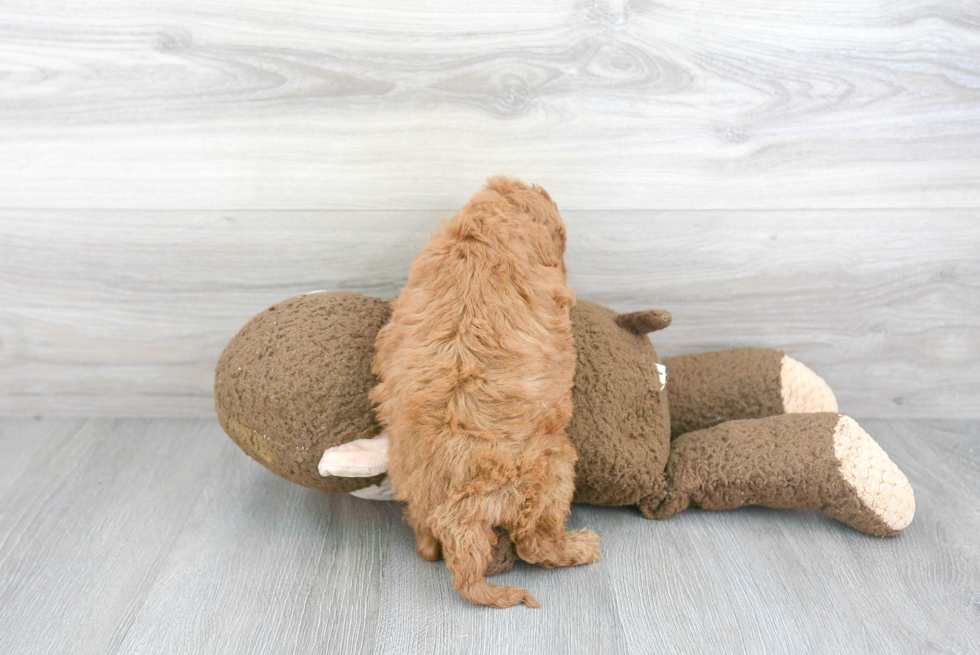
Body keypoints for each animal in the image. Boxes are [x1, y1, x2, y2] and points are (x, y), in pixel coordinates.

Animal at [368, 176, 596, 608]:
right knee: (536, 543)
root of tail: (460, 510)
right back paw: (580, 547)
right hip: (552, 469)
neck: (484, 223)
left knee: (427, 541)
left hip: (419, 497)